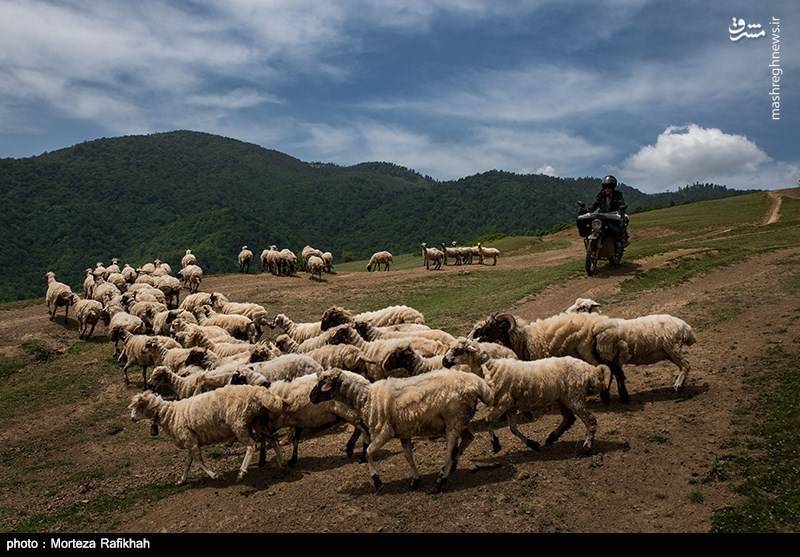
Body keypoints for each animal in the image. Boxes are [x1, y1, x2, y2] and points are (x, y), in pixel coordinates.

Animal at [128, 384, 284, 484]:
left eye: (138, 407)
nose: (132, 418)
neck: (170, 414)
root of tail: (258, 392)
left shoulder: (189, 440)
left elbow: (197, 461)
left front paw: (215, 475)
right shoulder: (191, 440)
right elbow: (188, 462)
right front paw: (182, 480)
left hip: (239, 423)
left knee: (252, 445)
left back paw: (241, 473)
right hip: (257, 422)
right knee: (273, 439)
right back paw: (281, 463)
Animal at [308, 370, 490, 490]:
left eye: (322, 383)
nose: (311, 397)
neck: (365, 397)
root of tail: (478, 384)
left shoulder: (385, 432)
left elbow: (368, 451)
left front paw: (376, 480)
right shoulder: (404, 432)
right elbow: (408, 456)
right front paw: (415, 480)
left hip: (454, 420)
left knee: (450, 450)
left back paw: (441, 479)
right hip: (460, 420)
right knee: (468, 438)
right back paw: (450, 468)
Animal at [444, 336, 608, 454]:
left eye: (458, 350)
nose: (444, 361)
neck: (492, 368)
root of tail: (590, 369)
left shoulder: (503, 403)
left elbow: (488, 420)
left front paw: (496, 444)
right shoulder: (510, 407)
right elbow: (513, 428)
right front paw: (532, 444)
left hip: (575, 398)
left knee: (590, 420)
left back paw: (587, 447)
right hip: (562, 399)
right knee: (569, 419)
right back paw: (552, 438)